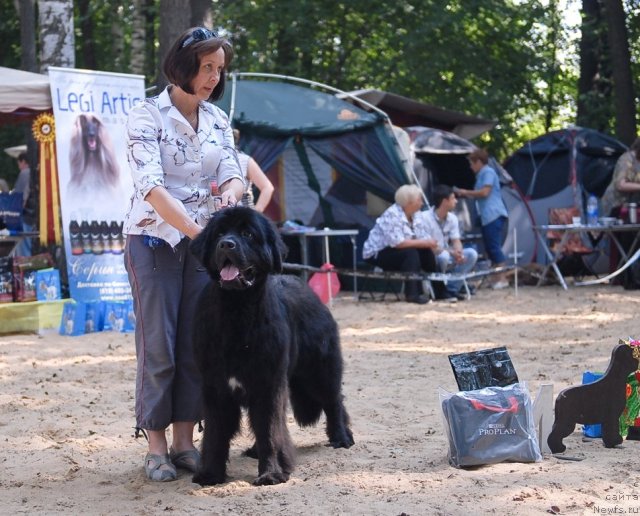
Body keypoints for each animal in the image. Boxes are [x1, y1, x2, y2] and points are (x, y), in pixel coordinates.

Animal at [190, 207, 356, 488]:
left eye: (248, 234)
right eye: (220, 234)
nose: (226, 244)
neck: (237, 312)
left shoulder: (267, 384)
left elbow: (269, 430)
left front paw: (271, 473)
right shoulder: (215, 386)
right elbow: (216, 433)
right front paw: (210, 473)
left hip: (318, 370)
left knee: (333, 400)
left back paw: (341, 437)